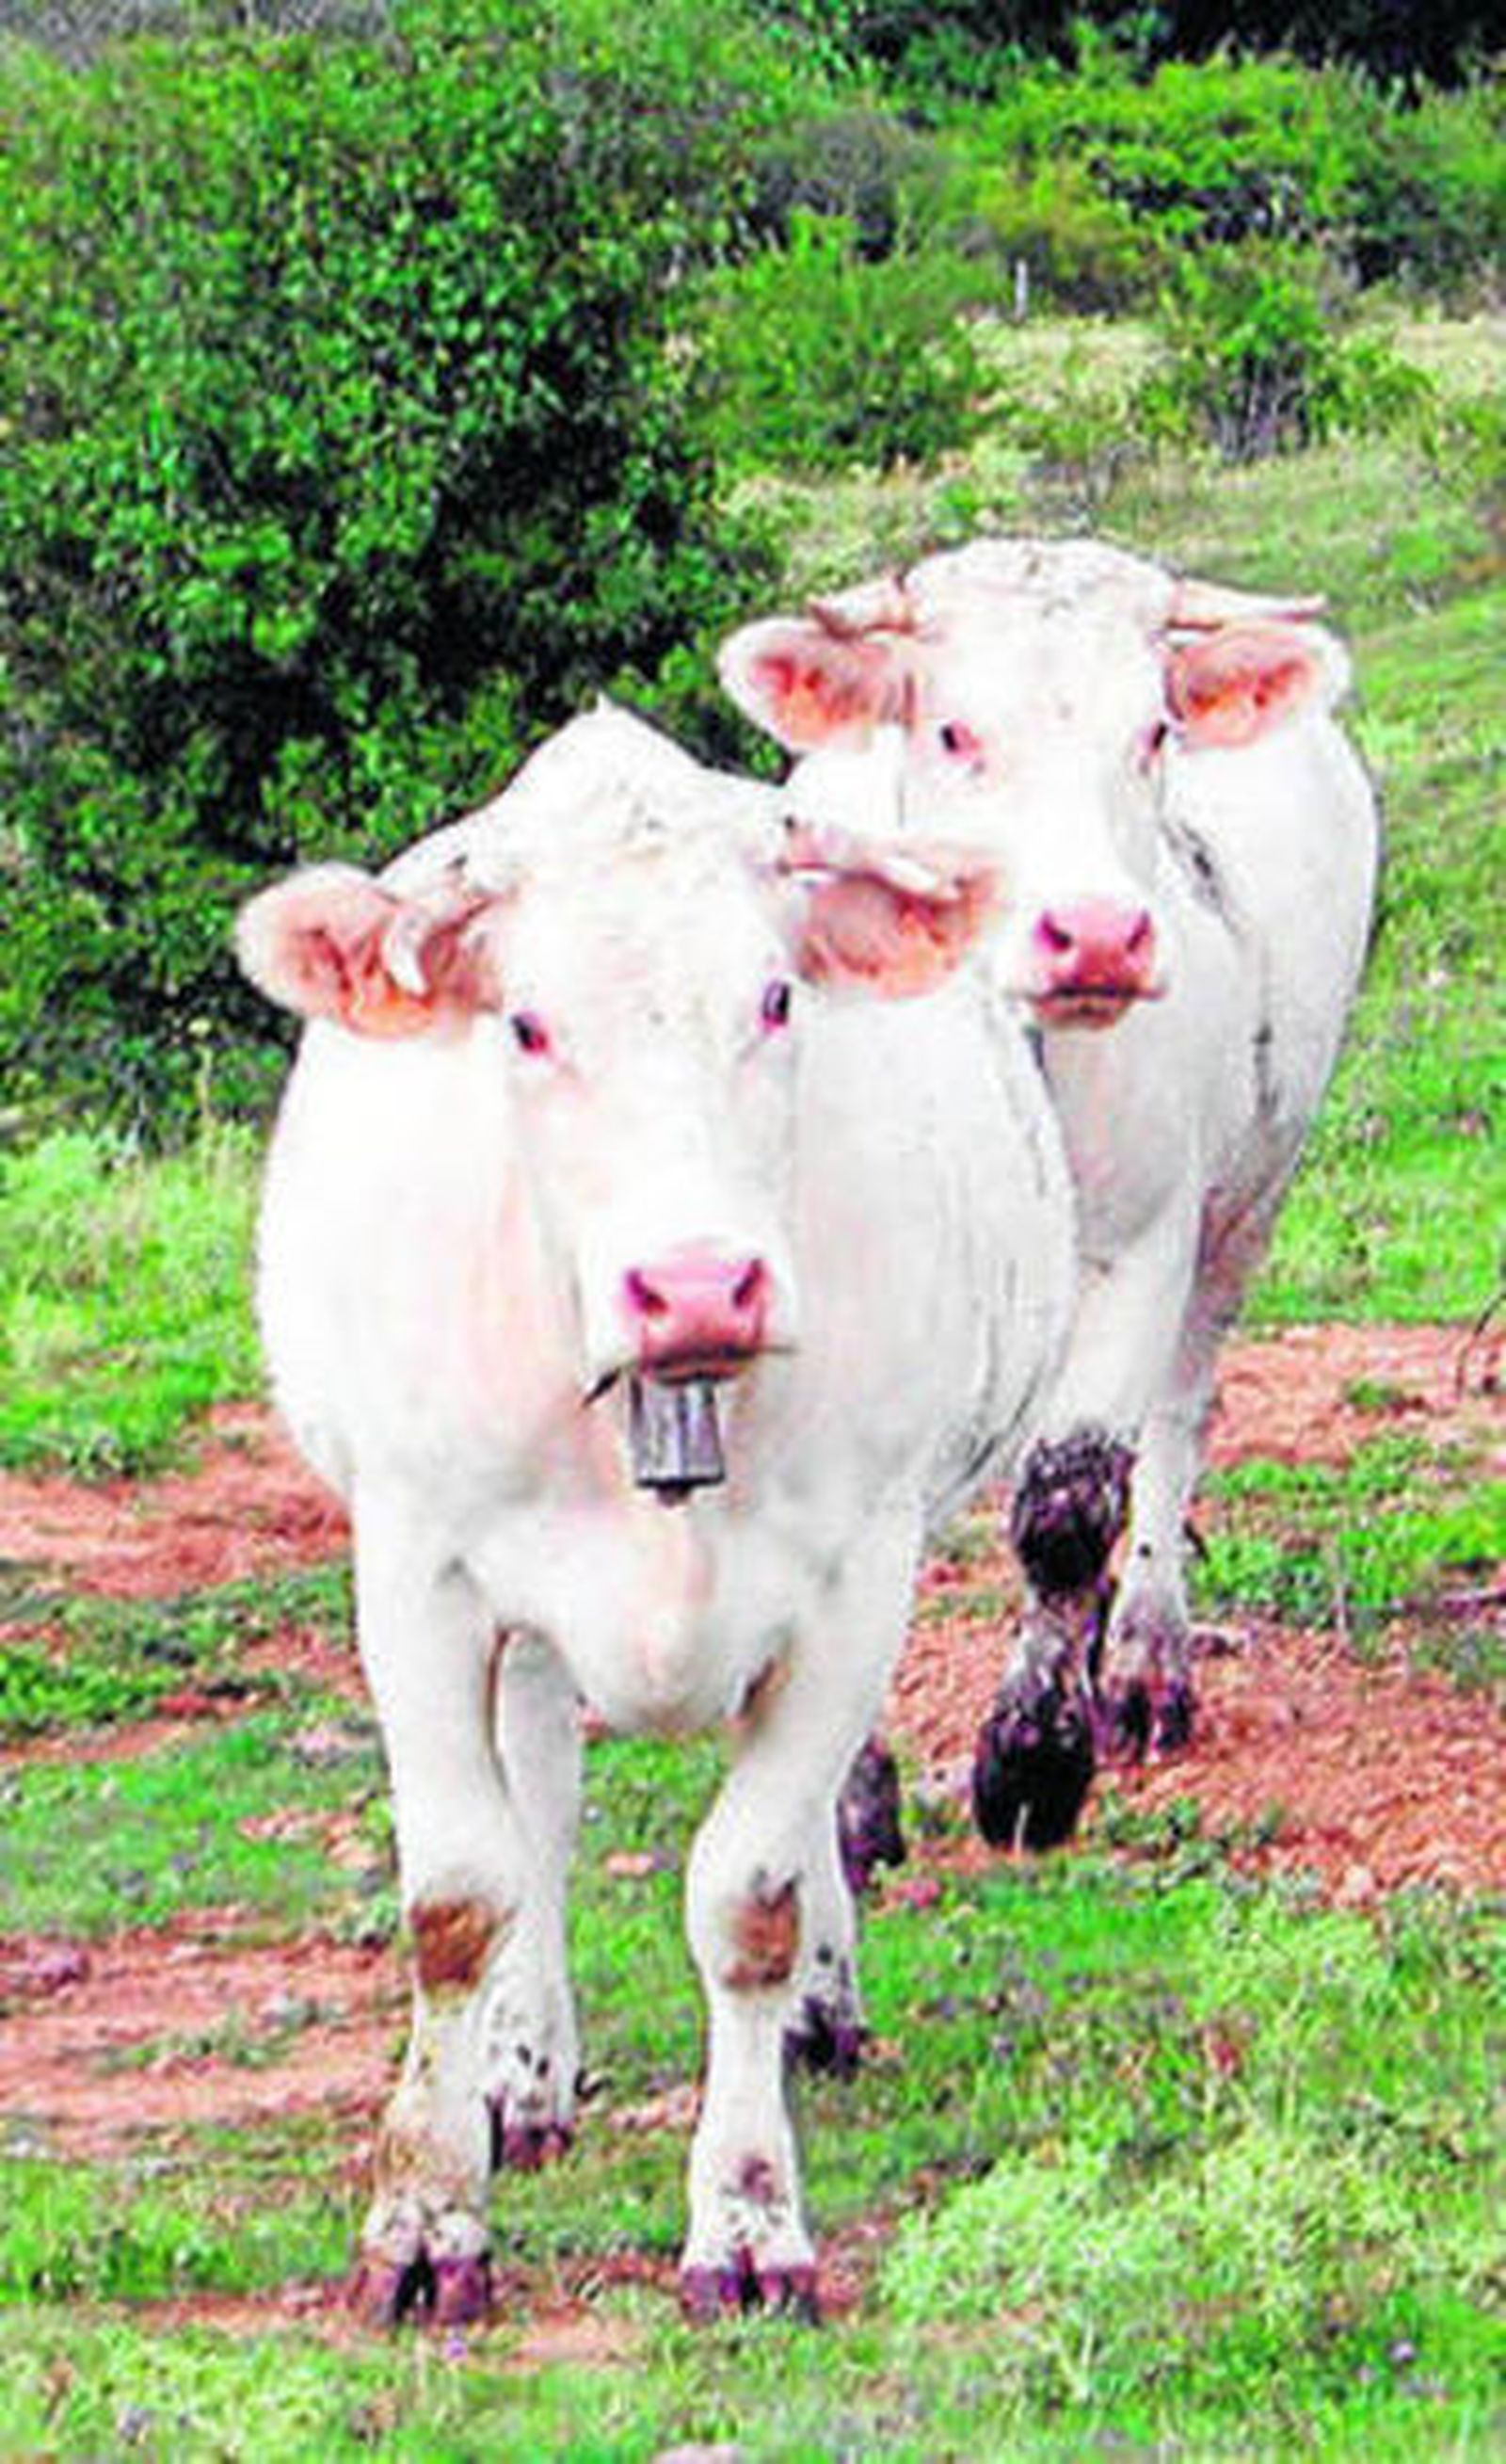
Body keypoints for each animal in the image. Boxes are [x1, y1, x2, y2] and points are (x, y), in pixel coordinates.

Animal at [236, 704, 1075, 2325]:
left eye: (775, 996)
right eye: (524, 1024)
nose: (695, 1286)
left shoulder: (857, 1578)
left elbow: (750, 1893)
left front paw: (748, 2220)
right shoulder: (417, 1569)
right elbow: (460, 1894)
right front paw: (426, 2216)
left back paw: (821, 2007)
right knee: (542, 1800)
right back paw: (523, 2072)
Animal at [719, 538, 1380, 1850]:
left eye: (1154, 731)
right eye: (954, 731)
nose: (1096, 935)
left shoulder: (1142, 1241)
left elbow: (1068, 1504)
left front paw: (1034, 1760)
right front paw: (851, 1799)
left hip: (1248, 1196)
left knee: (1174, 1421)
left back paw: (1143, 1665)